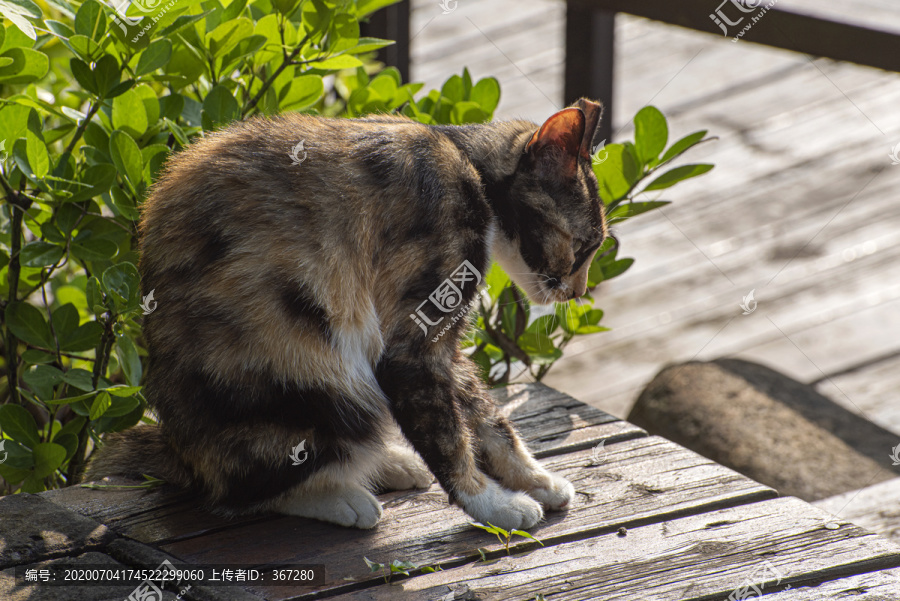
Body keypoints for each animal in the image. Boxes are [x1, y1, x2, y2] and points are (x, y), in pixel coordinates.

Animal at [84, 96, 608, 528]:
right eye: (587, 245)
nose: (579, 293)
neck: (467, 165)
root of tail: (180, 455)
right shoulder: (413, 339)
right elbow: (448, 432)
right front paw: (491, 504)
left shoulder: (447, 351)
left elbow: (486, 415)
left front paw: (535, 479)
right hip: (324, 384)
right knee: (237, 493)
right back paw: (345, 498)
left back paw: (392, 462)